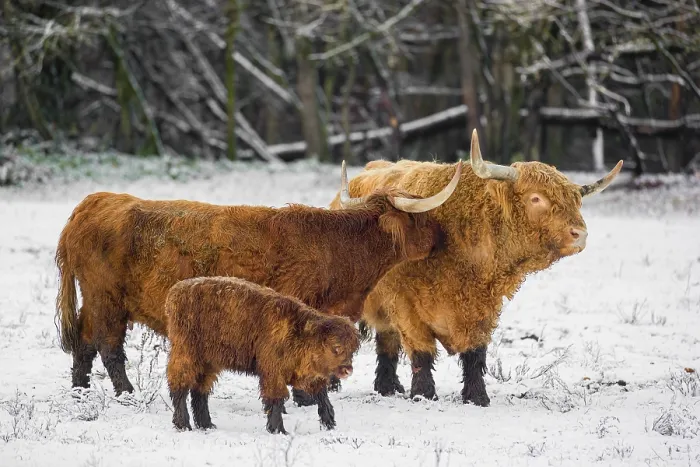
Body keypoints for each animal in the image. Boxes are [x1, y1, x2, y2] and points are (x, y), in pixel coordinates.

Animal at [54, 161, 463, 406]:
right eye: (419, 217)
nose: (442, 234)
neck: (339, 248)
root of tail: (93, 203)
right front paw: (305, 398)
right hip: (107, 300)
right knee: (108, 347)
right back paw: (126, 393)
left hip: (96, 300)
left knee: (85, 343)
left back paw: (80, 390)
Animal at [165, 276, 360, 434]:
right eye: (336, 347)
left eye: (352, 350)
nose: (347, 370)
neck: (299, 333)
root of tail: (176, 291)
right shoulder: (272, 374)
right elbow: (276, 400)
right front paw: (278, 430)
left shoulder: (310, 376)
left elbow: (322, 397)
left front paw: (330, 423)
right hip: (186, 355)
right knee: (180, 387)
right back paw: (183, 425)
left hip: (209, 362)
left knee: (200, 391)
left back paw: (206, 424)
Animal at [329, 129, 623, 406]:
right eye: (536, 198)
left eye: (575, 201)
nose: (580, 234)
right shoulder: (406, 305)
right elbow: (421, 352)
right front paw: (423, 394)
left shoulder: (482, 306)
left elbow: (475, 353)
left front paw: (477, 397)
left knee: (386, 341)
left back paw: (388, 387)